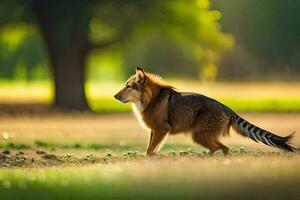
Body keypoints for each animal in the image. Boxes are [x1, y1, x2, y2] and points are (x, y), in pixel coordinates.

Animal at [114, 68, 296, 155]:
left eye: (128, 86)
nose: (114, 96)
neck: (151, 99)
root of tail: (226, 107)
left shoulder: (161, 130)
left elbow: (150, 150)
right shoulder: (155, 131)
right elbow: (151, 149)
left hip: (200, 134)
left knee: (221, 148)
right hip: (203, 135)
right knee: (222, 148)